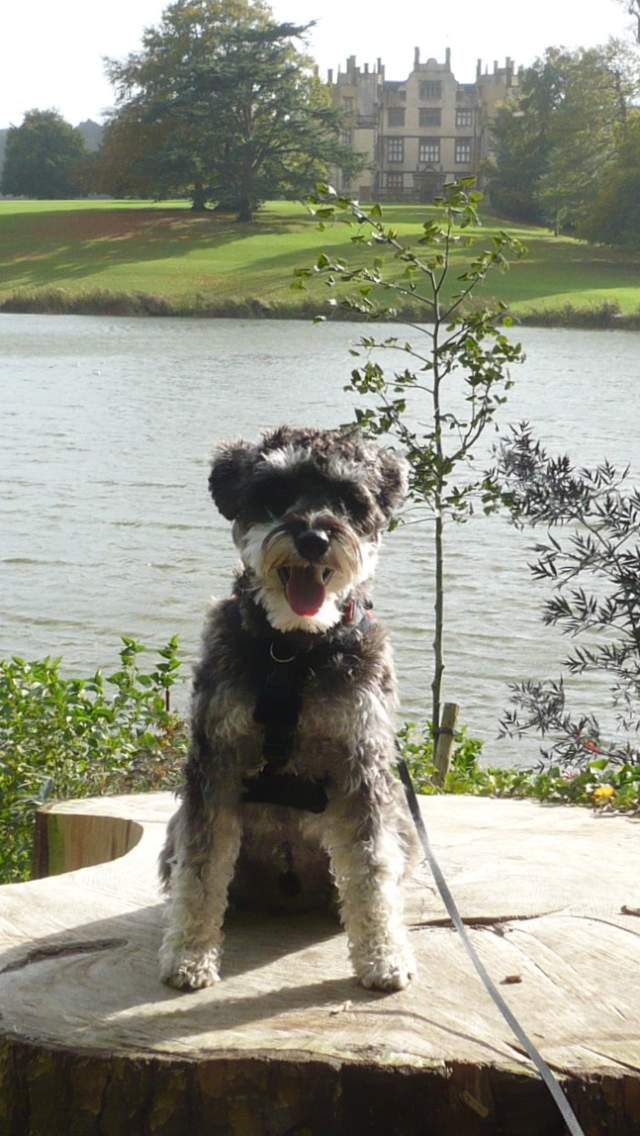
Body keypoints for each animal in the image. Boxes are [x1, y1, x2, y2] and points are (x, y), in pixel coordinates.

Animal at [159, 427, 420, 995]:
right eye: (276, 493)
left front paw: (383, 957)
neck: (294, 650)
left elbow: (371, 869)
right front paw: (189, 954)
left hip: (405, 828)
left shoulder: (362, 765)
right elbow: (201, 869)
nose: (314, 538)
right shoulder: (214, 763)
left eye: (348, 499)